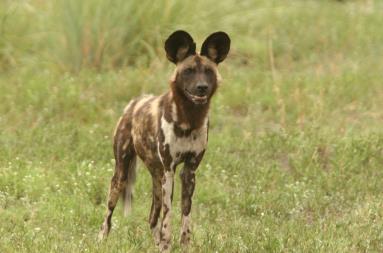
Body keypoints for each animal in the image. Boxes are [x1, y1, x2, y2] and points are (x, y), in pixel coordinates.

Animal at [99, 30, 231, 251]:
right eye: (188, 71)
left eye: (208, 71)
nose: (202, 87)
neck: (189, 119)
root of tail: (134, 103)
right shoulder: (170, 171)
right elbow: (168, 217)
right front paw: (167, 245)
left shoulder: (189, 172)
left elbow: (185, 215)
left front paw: (184, 245)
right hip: (121, 175)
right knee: (108, 215)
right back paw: (101, 240)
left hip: (157, 177)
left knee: (152, 218)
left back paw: (156, 244)